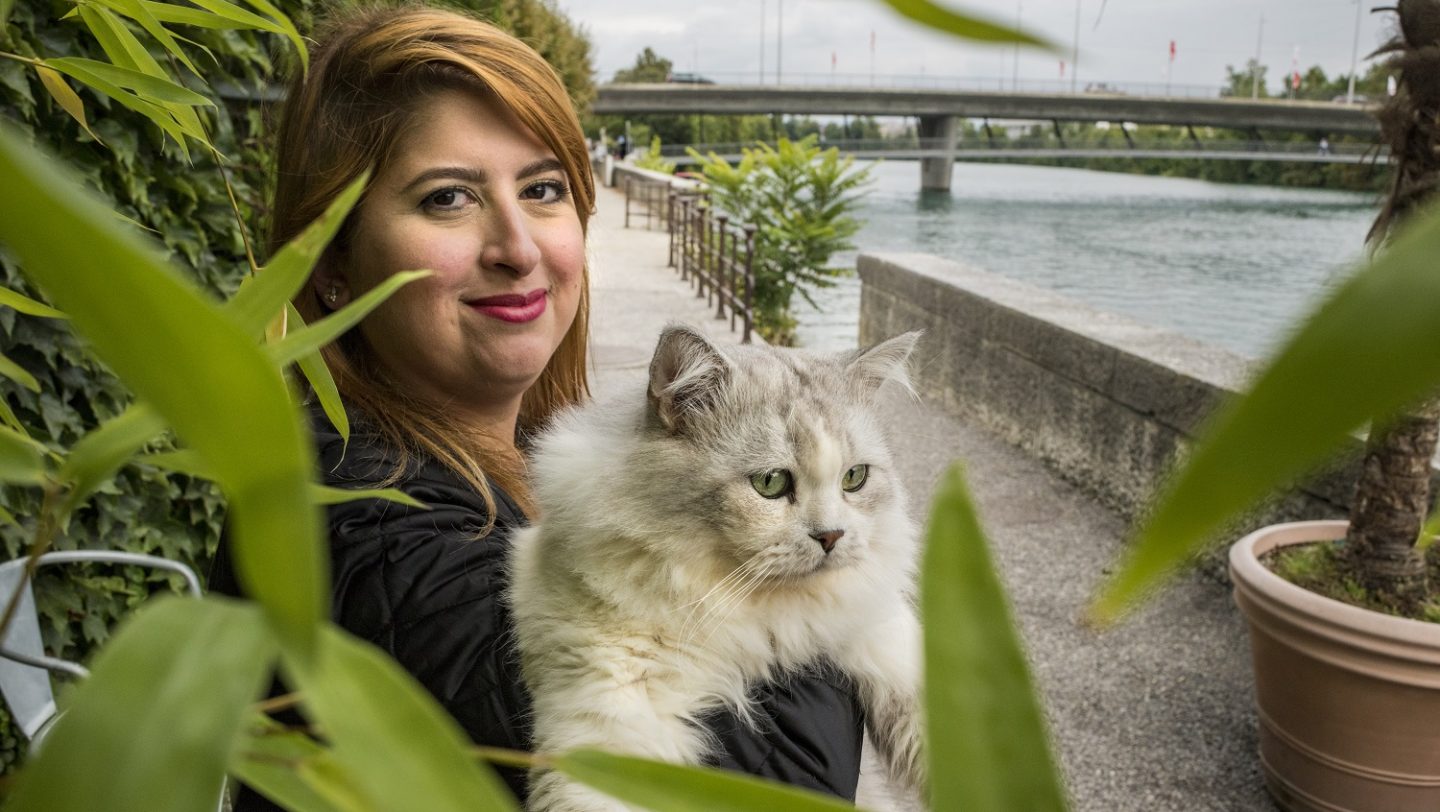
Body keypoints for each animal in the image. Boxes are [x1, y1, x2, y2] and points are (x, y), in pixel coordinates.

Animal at [512, 325, 927, 812]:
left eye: (854, 478)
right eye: (770, 483)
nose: (831, 537)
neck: (763, 617)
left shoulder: (876, 629)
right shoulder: (612, 711)